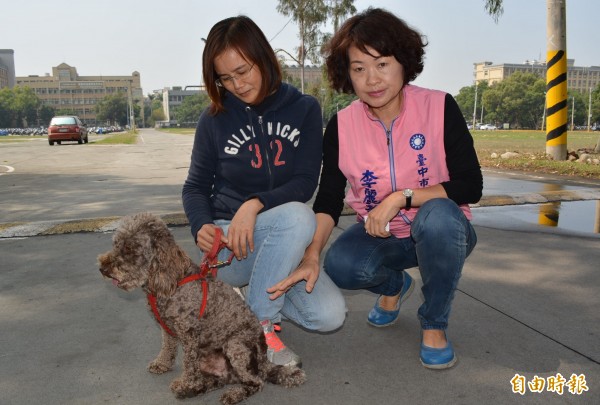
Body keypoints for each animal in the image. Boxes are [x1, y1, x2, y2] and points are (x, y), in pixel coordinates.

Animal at [99, 213, 304, 402]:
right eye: (116, 243)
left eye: (130, 248)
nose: (103, 268)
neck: (173, 280)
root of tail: (263, 363)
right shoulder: (167, 328)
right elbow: (167, 347)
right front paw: (162, 364)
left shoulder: (189, 335)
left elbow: (188, 365)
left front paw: (185, 382)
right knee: (219, 380)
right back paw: (193, 389)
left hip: (235, 345)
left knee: (255, 382)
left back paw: (231, 393)